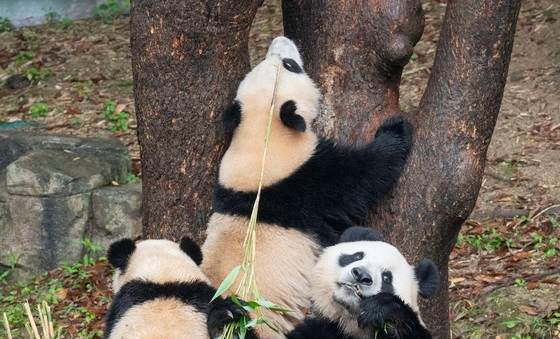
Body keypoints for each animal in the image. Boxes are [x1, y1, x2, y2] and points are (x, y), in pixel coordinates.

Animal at [201, 35, 412, 338]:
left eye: (283, 62)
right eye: (291, 65)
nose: (280, 39)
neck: (262, 139)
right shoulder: (307, 182)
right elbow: (362, 176)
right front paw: (396, 131)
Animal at [209, 226, 438, 339]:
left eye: (387, 278)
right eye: (356, 256)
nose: (360, 275)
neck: (346, 323)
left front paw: (386, 311)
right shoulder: (318, 327)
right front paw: (227, 319)